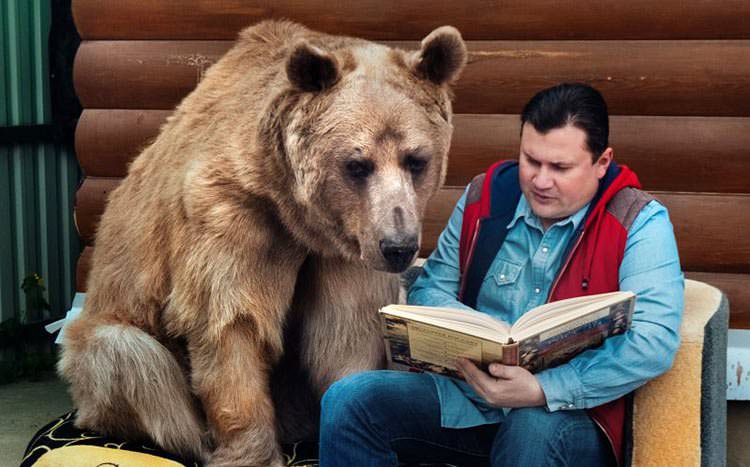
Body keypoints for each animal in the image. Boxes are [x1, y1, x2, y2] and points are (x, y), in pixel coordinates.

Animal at [59, 20, 467, 467]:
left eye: (416, 159)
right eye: (357, 164)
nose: (398, 246)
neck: (294, 213)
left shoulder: (346, 249)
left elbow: (345, 331)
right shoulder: (231, 216)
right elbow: (231, 322)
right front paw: (250, 452)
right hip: (110, 335)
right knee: (132, 360)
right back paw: (198, 440)